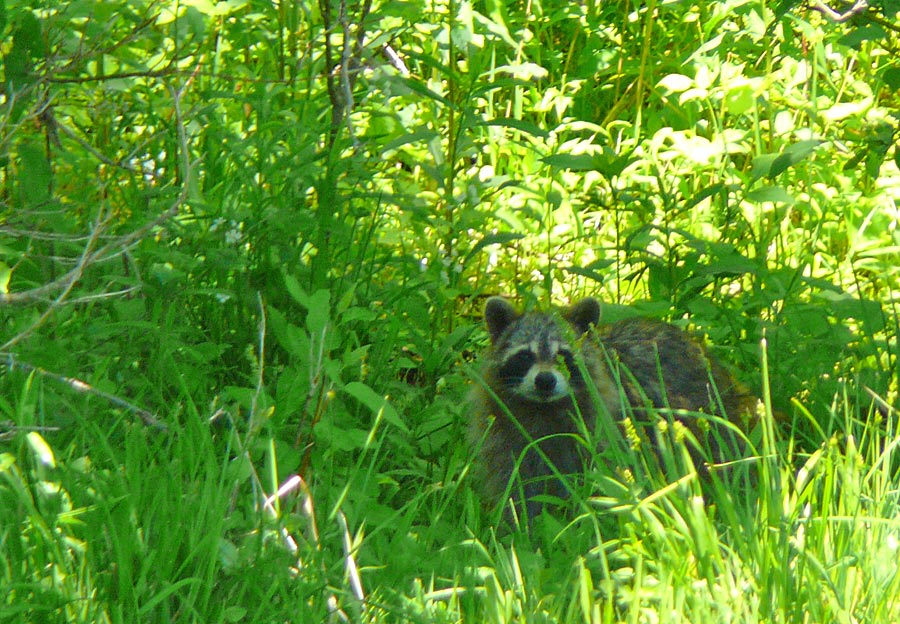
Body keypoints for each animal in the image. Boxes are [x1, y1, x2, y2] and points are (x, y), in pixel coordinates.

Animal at [468, 296, 757, 518]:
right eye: (525, 356)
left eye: (563, 355)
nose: (545, 381)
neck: (544, 408)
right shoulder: (505, 431)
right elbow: (517, 483)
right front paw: (520, 524)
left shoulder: (605, 423)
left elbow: (606, 476)